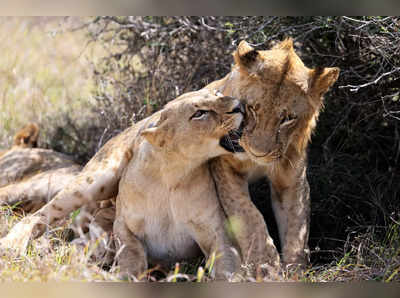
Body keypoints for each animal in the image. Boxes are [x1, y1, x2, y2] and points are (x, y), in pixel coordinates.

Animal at [0, 89, 244, 280]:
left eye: (218, 94)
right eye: (199, 113)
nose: (239, 105)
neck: (173, 177)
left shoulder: (217, 234)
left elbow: (228, 268)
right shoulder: (123, 225)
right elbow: (131, 254)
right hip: (94, 180)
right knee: (38, 216)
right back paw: (12, 245)